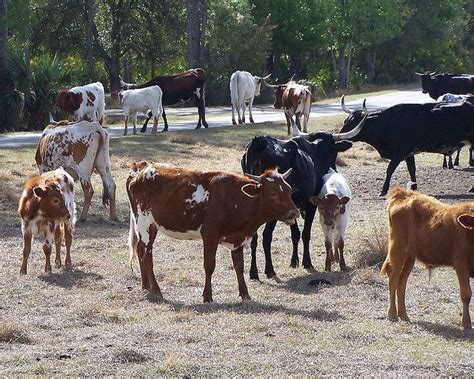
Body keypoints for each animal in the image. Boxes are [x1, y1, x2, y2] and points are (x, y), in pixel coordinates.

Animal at [126, 162, 296, 304]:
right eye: (273, 193)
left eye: (289, 190)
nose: (294, 213)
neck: (235, 198)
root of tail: (140, 168)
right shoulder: (210, 236)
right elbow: (209, 265)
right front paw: (207, 296)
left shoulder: (237, 239)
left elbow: (239, 266)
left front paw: (245, 294)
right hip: (145, 222)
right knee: (146, 255)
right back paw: (156, 290)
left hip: (149, 226)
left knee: (141, 251)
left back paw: (146, 286)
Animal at [241, 119, 366, 282]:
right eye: (333, 151)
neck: (316, 152)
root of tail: (259, 142)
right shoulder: (311, 205)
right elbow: (306, 233)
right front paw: (307, 262)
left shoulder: (292, 207)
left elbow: (295, 233)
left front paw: (294, 261)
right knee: (266, 236)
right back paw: (270, 270)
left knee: (253, 237)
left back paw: (253, 272)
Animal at [382, 189, 474, 332]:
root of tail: (403, 193)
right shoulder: (461, 265)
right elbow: (466, 294)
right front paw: (466, 323)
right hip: (397, 250)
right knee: (393, 279)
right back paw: (392, 314)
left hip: (410, 257)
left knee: (402, 283)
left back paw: (403, 315)